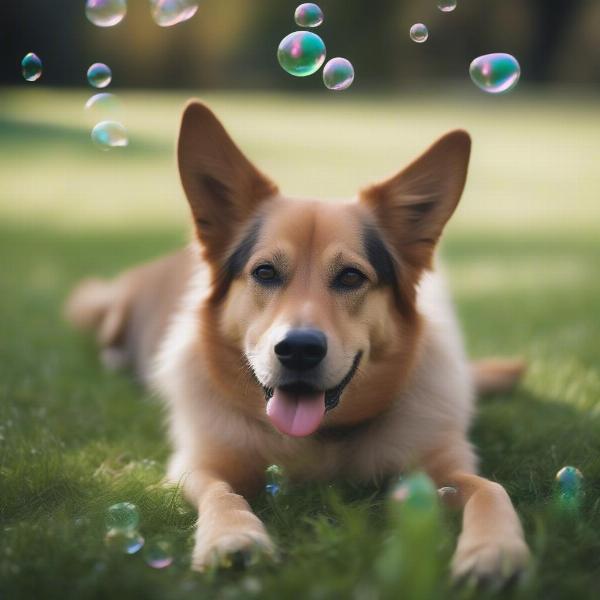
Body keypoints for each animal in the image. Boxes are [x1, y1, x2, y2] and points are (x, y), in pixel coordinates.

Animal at [67, 102, 528, 580]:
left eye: (350, 277)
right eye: (265, 272)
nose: (299, 350)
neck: (317, 442)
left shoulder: (442, 464)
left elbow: (490, 489)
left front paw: (494, 548)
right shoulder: (197, 465)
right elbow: (221, 493)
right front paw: (232, 536)